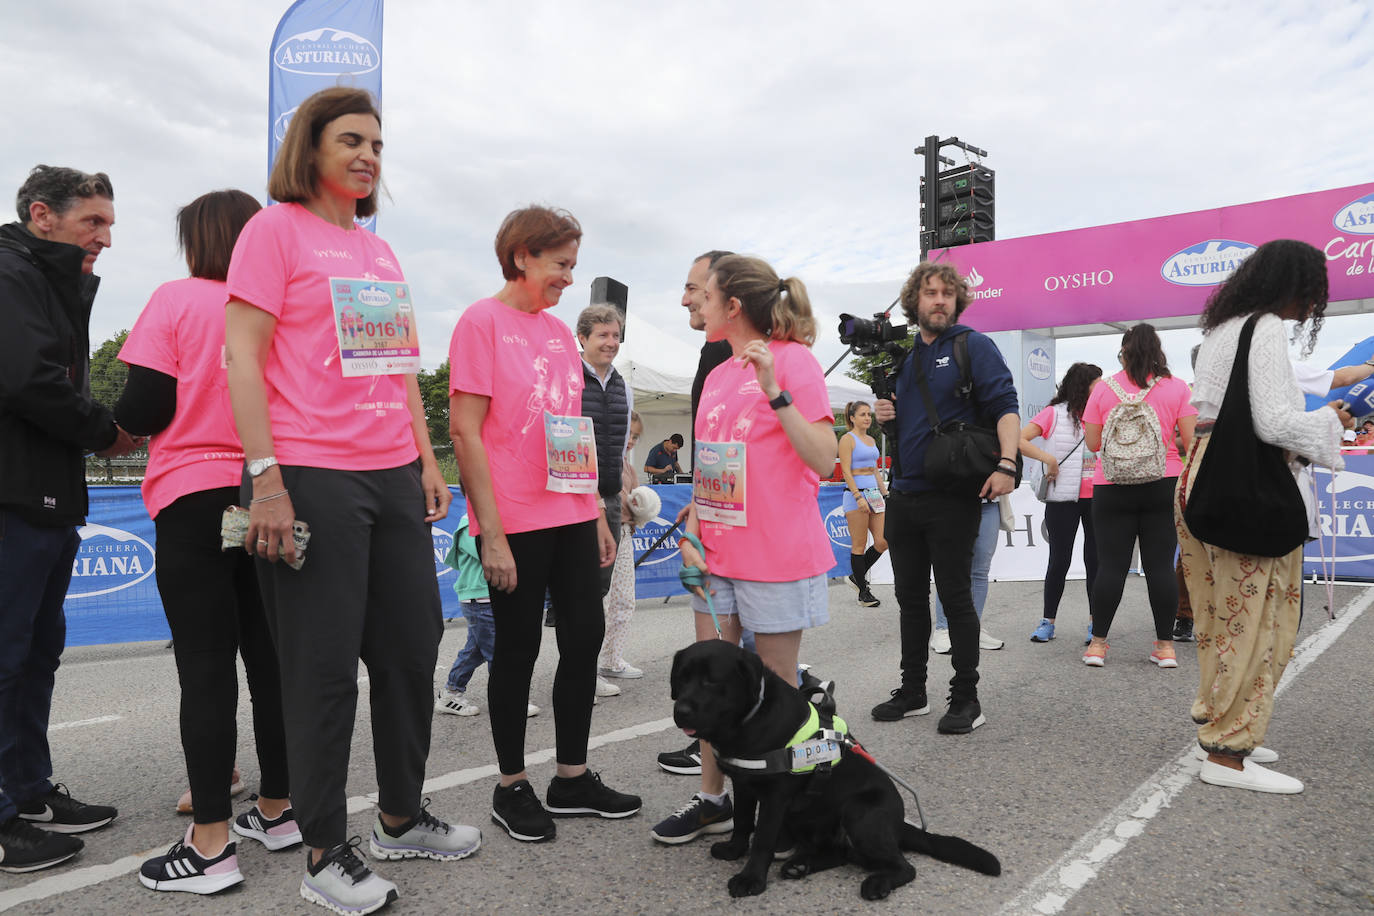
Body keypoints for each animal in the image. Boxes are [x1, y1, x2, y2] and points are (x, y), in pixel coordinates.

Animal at [667, 642, 1000, 900]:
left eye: (711, 681)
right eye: (681, 679)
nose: (680, 711)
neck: (751, 718)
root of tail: (899, 824)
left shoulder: (775, 797)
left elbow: (761, 838)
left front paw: (751, 879)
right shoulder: (744, 783)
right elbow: (741, 821)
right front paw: (734, 850)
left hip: (859, 813)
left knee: (905, 867)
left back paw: (877, 883)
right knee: (840, 853)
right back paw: (800, 865)